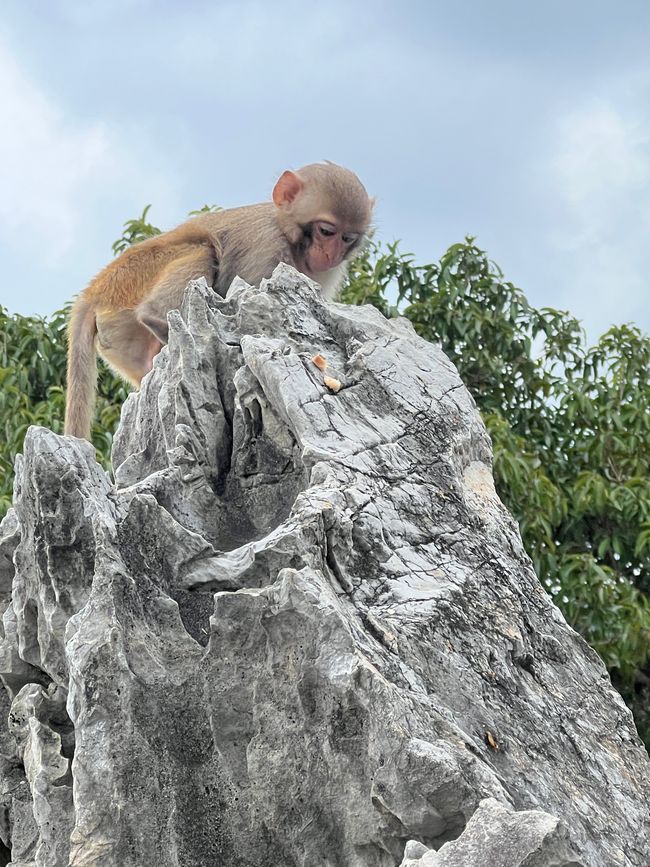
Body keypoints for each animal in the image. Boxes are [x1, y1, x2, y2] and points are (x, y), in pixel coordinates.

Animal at [64, 162, 373, 440]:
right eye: (326, 231)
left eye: (347, 238)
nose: (330, 254)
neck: (288, 233)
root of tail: (96, 288)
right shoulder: (265, 247)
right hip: (135, 276)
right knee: (202, 250)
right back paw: (157, 317)